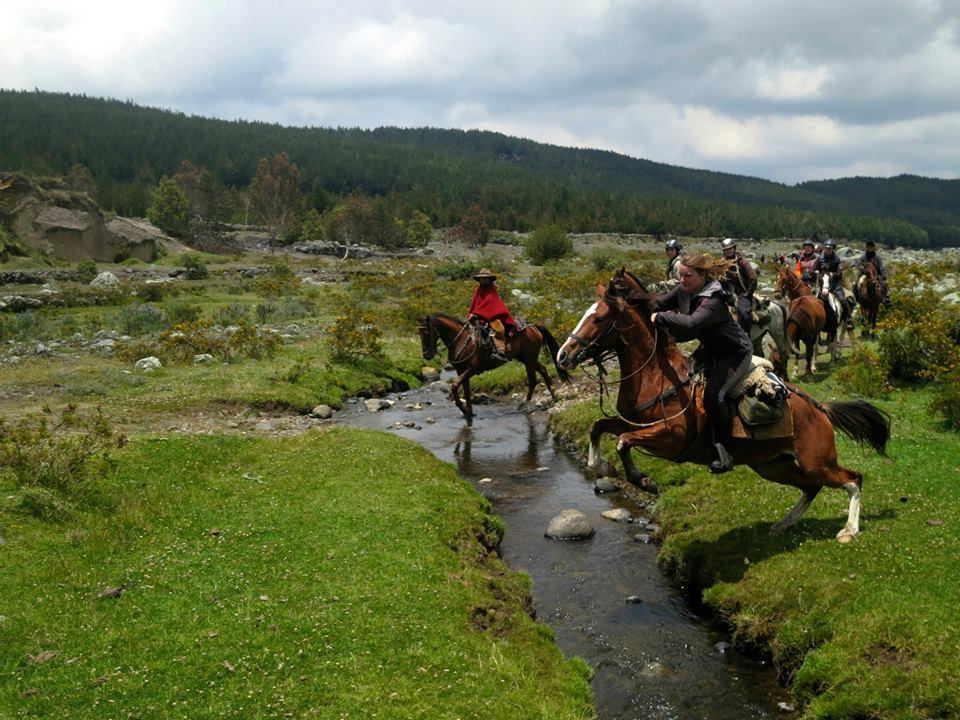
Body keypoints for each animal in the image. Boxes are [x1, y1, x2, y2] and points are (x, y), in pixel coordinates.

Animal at [414, 316, 568, 422]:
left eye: (426, 333)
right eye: (419, 334)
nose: (426, 355)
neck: (461, 340)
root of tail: (533, 326)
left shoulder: (471, 370)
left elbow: (454, 386)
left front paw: (463, 409)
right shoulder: (461, 371)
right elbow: (466, 392)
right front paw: (469, 413)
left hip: (529, 359)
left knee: (532, 379)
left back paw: (526, 405)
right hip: (526, 358)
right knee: (543, 370)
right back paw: (553, 396)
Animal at [556, 270, 892, 540]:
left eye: (598, 319)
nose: (562, 355)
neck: (658, 376)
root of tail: (819, 408)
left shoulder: (669, 438)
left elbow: (623, 441)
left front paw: (643, 480)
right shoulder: (635, 423)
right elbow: (599, 426)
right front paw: (597, 463)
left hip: (817, 462)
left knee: (853, 479)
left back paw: (848, 530)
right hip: (773, 465)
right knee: (811, 488)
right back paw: (783, 524)